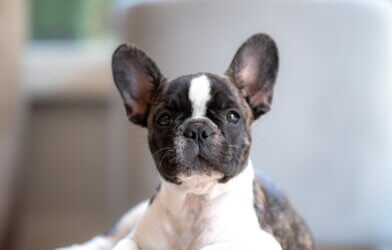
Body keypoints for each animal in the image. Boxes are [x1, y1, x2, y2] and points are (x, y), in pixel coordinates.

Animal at [56, 33, 316, 250]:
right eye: (164, 119)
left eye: (232, 117)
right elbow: (122, 245)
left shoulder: (258, 242)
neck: (195, 200)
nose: (197, 129)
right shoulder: (136, 238)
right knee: (105, 240)